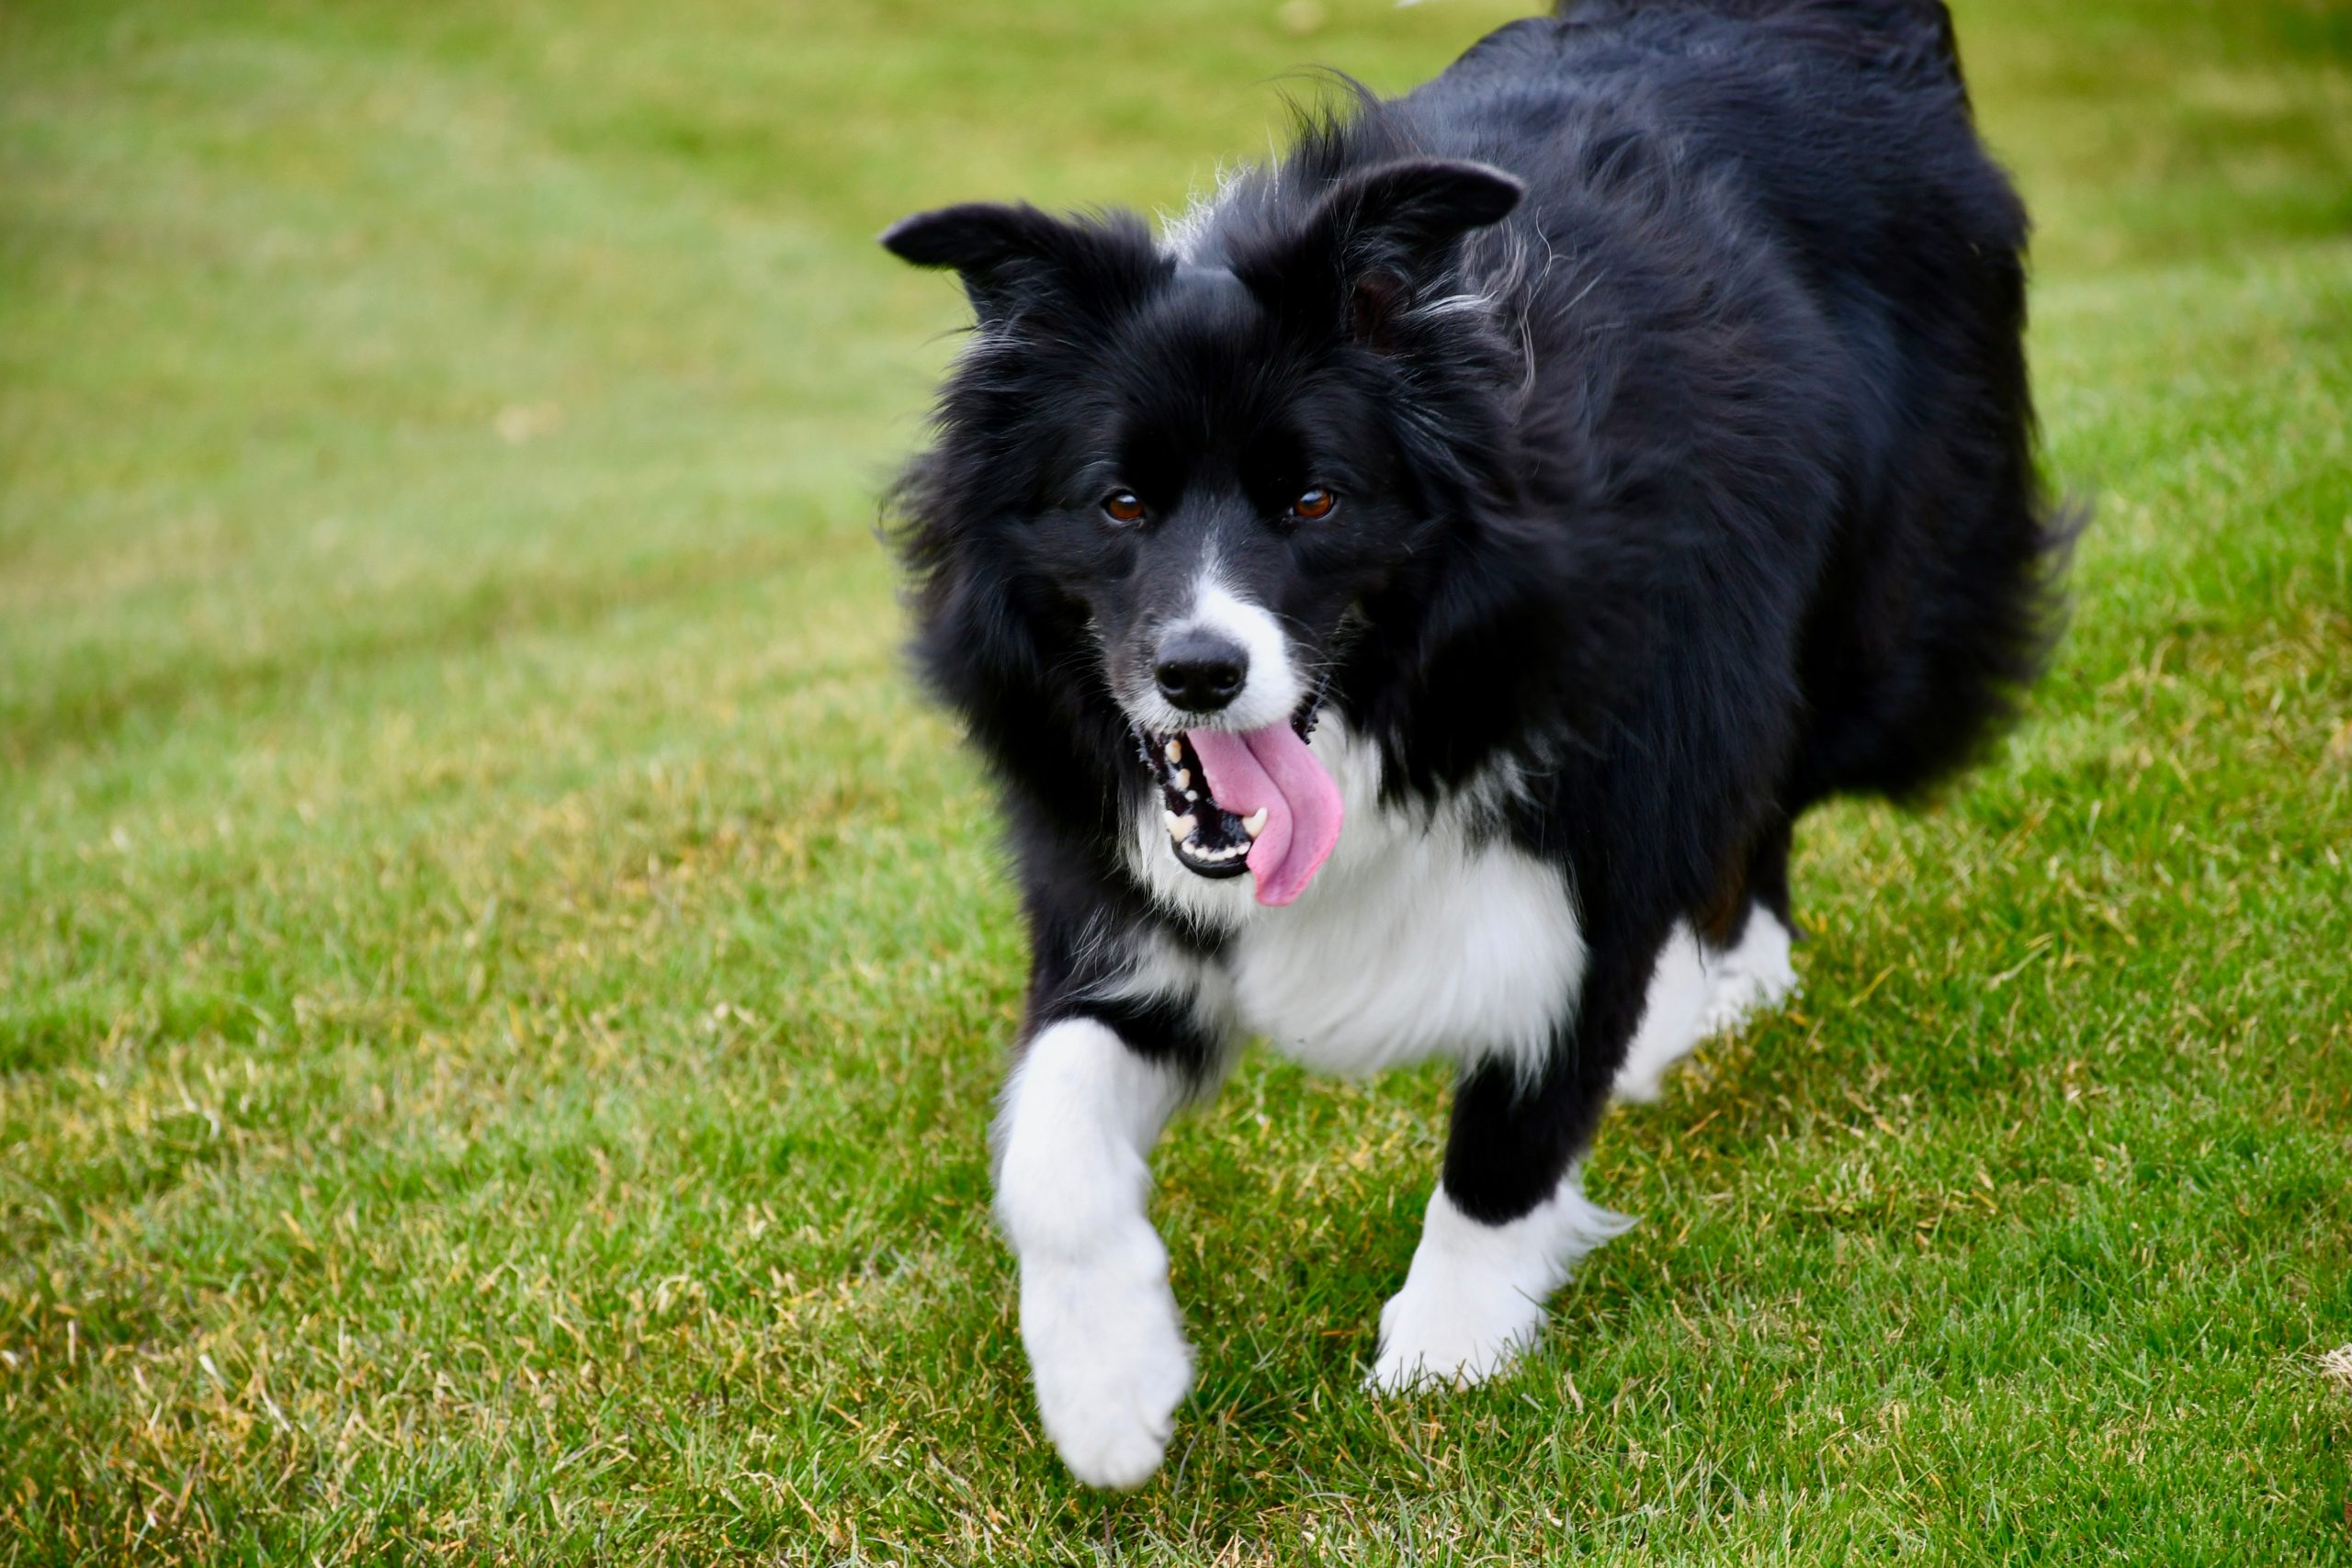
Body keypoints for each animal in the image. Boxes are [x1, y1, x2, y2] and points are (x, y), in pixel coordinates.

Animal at [879, 0, 2060, 1495]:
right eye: (1120, 503)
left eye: (1316, 500)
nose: (1199, 672)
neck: (1402, 705)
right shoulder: (1124, 903)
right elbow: (1050, 1131)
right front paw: (1107, 1389)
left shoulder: (1614, 789)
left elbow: (1518, 1118)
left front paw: (1444, 1353)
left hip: (1880, 623)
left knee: (1778, 771)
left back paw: (1714, 995)